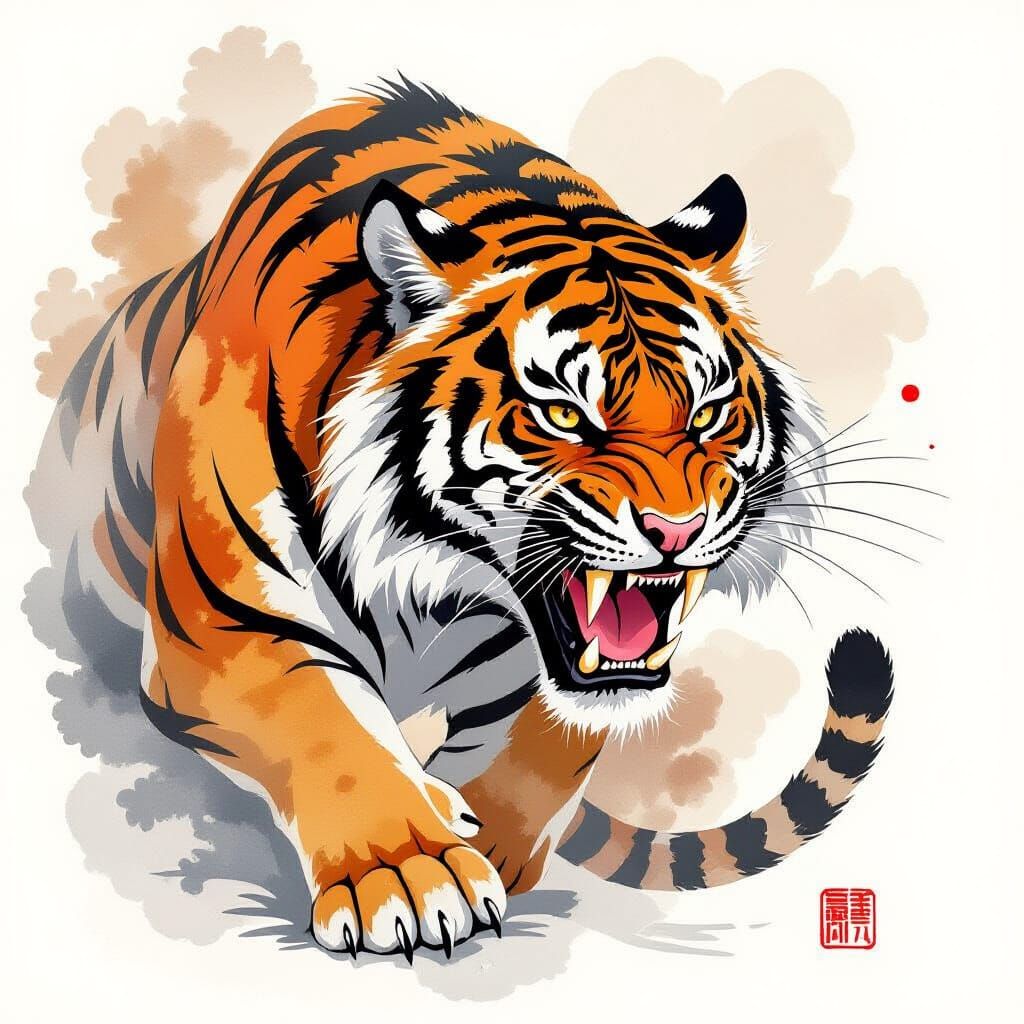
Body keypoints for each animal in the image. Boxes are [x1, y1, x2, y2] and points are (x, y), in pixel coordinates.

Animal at [32, 77, 893, 962]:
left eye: (709, 410)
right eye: (563, 413)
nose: (676, 530)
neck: (439, 580)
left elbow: (553, 742)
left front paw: (490, 840)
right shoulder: (225, 625)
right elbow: (329, 727)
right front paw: (410, 874)